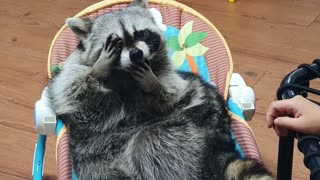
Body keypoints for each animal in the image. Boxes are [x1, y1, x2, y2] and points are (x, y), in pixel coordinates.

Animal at [48, 0, 274, 179]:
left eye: (141, 33)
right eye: (116, 43)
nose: (136, 54)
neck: (126, 74)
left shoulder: (169, 77)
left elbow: (171, 95)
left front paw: (152, 84)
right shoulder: (72, 75)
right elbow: (74, 95)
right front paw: (99, 69)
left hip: (189, 127)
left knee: (150, 141)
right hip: (95, 157)